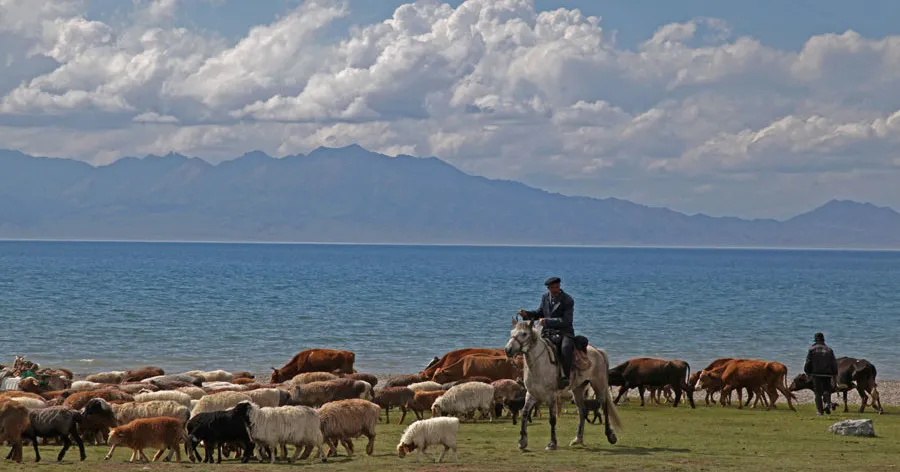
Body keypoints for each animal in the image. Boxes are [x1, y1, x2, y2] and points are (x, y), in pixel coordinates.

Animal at [502, 318, 624, 450]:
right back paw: (577, 439)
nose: (507, 350)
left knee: (605, 407)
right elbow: (524, 414)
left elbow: (552, 419)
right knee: (582, 411)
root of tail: (597, 351)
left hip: (599, 384)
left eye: (524, 334)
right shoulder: (531, 394)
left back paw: (610, 436)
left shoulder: (550, 396)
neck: (539, 364)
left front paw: (552, 443)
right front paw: (522, 441)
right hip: (578, 389)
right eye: (512, 332)